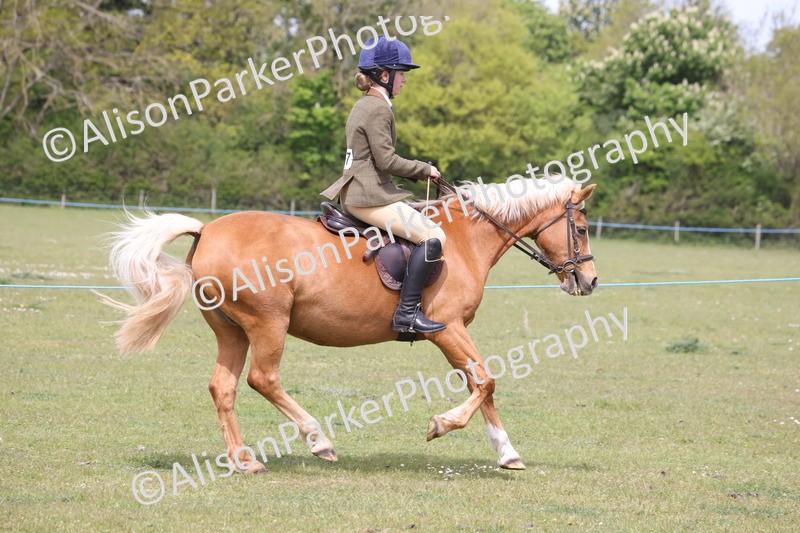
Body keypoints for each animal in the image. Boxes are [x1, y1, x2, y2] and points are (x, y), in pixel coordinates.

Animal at [101, 177, 597, 473]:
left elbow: (482, 383)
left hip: (231, 331)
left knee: (224, 387)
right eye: (583, 228)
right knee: (263, 378)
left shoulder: (453, 332)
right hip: (267, 323)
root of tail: (208, 230)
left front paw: (507, 452)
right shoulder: (447, 328)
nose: (589, 281)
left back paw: (244, 460)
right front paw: (440, 424)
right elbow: (487, 381)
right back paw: (318, 440)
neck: (463, 241)